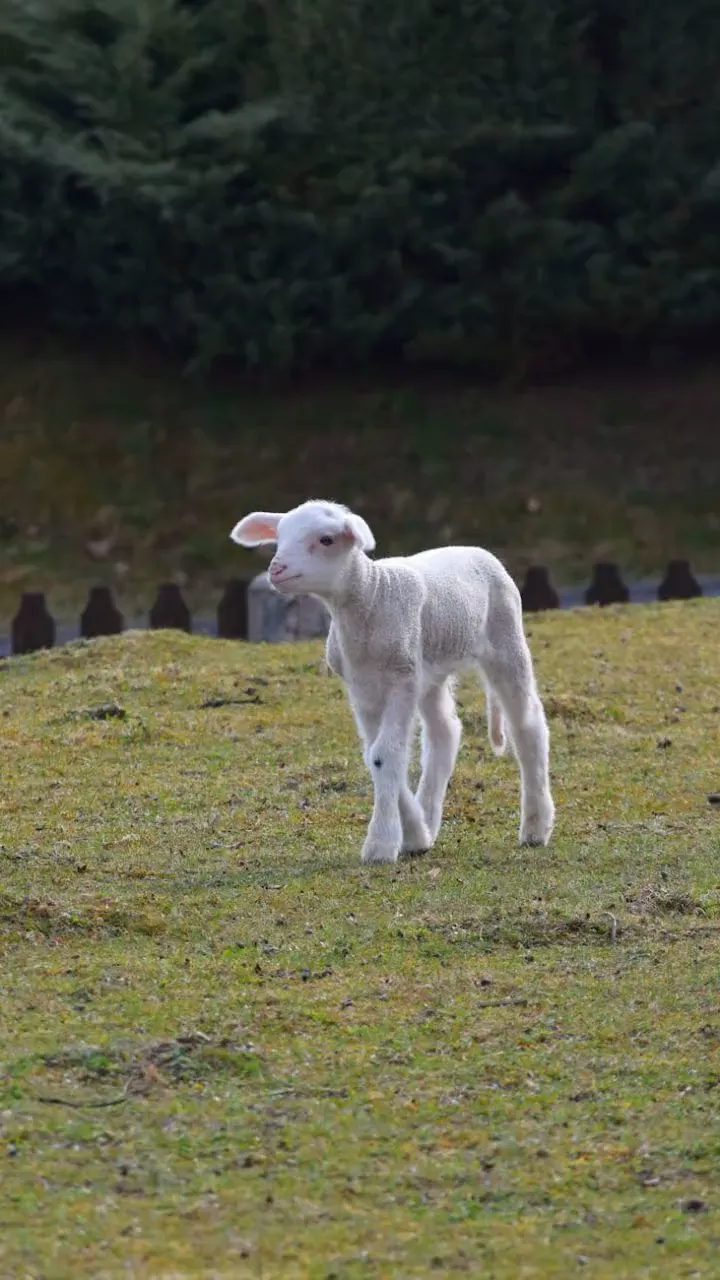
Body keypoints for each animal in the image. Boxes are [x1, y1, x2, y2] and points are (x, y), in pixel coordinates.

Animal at [231, 499, 555, 864]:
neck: (372, 595)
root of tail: (476, 550)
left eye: (326, 540)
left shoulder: (402, 679)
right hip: (431, 670)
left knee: (528, 725)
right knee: (445, 732)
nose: (277, 569)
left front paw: (380, 845)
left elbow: (385, 753)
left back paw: (535, 827)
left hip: (505, 638)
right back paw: (429, 819)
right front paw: (414, 836)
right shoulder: (363, 687)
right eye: (280, 536)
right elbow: (379, 755)